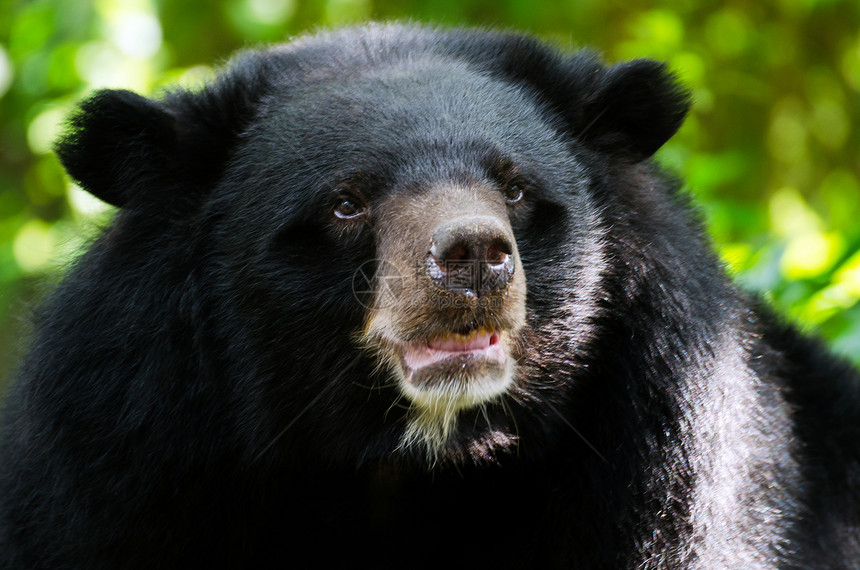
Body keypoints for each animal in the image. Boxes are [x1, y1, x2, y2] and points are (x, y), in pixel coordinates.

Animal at [1, 23, 860, 568]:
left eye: (516, 188)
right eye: (346, 203)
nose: (474, 256)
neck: (409, 462)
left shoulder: (657, 454)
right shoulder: (128, 452)